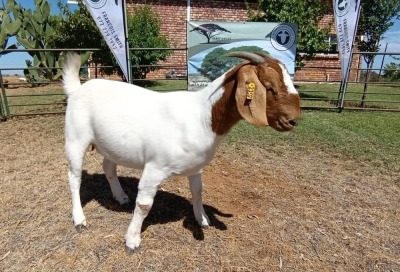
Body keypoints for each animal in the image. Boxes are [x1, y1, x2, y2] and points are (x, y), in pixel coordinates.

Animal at [62, 51, 300, 253]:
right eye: (269, 86)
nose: (293, 120)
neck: (202, 116)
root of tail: (78, 89)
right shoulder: (154, 168)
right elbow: (144, 205)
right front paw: (132, 240)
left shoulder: (196, 168)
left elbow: (197, 192)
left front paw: (203, 220)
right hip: (75, 139)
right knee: (74, 178)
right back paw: (79, 219)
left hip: (110, 146)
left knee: (109, 168)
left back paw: (120, 197)